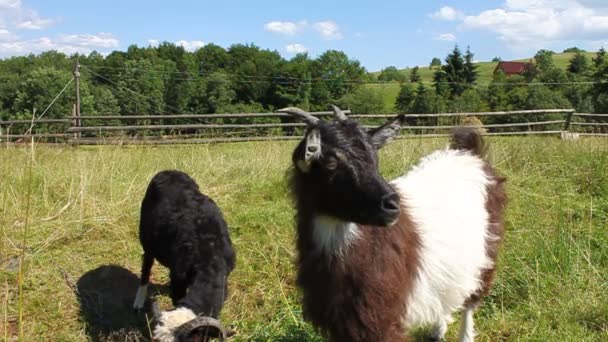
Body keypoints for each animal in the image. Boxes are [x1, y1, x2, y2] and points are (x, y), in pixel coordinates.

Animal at [282, 107, 506, 342]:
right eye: (330, 163)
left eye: (375, 158)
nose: (392, 204)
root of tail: (468, 154)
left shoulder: (381, 318)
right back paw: (437, 331)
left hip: (487, 252)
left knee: (472, 300)